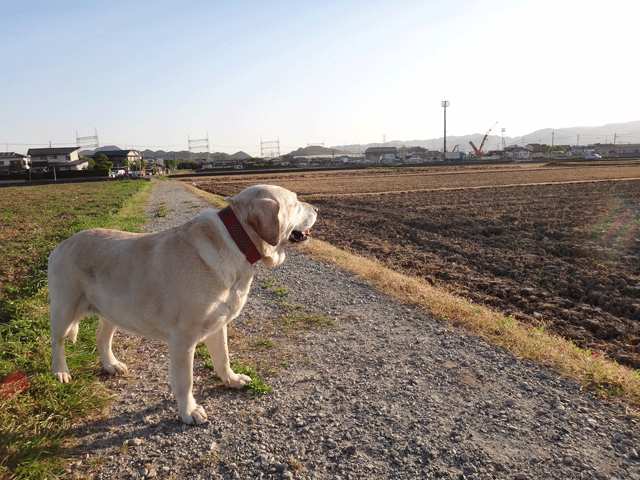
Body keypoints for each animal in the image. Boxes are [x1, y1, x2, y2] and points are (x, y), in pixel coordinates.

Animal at [50, 184, 318, 424]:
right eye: (295, 202)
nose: (316, 207)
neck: (236, 241)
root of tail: (61, 244)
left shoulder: (218, 325)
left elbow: (223, 358)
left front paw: (231, 379)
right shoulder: (183, 339)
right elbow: (185, 380)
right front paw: (189, 411)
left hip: (113, 311)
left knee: (101, 338)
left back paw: (111, 365)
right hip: (64, 310)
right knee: (57, 342)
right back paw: (61, 372)